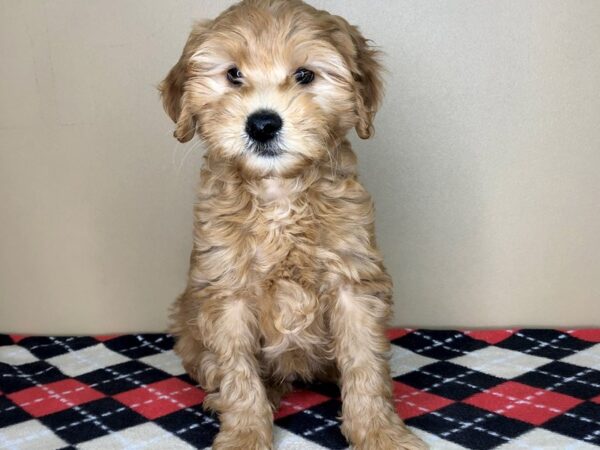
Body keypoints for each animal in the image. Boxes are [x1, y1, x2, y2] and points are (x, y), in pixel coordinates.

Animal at [161, 0, 426, 450]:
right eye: (233, 75)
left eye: (304, 75)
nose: (262, 124)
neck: (279, 195)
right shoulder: (227, 292)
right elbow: (238, 372)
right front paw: (245, 432)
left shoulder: (353, 282)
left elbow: (365, 364)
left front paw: (379, 430)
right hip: (188, 326)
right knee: (216, 368)